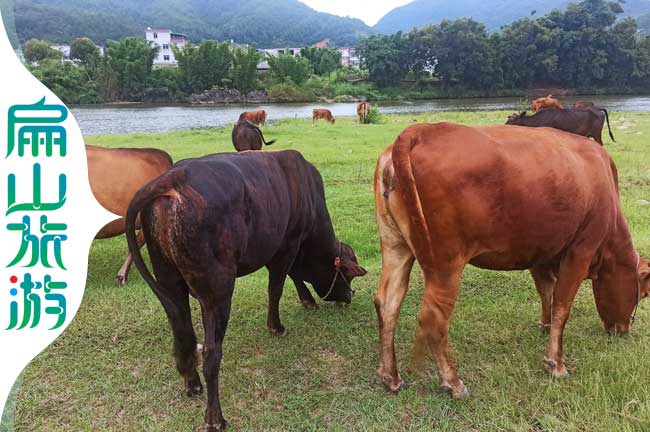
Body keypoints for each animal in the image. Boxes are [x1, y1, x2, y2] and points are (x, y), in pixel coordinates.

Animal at [123, 149, 364, 432]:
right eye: (348, 274)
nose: (350, 296)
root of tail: (173, 178)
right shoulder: (287, 244)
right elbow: (277, 287)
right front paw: (277, 325)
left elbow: (291, 276)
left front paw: (307, 300)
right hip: (218, 293)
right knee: (211, 353)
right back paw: (215, 417)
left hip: (170, 283)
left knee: (183, 334)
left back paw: (192, 383)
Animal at [372, 123, 648, 400]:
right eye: (644, 294)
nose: (622, 330)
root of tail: (422, 130)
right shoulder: (581, 250)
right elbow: (562, 305)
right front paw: (555, 364)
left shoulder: (541, 252)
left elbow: (546, 291)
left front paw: (545, 325)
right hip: (446, 264)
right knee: (433, 319)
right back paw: (454, 383)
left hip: (395, 245)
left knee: (387, 303)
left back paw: (390, 377)